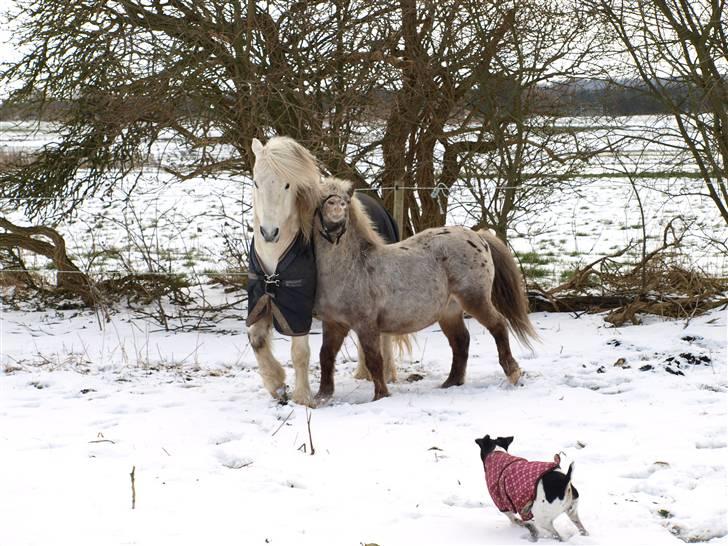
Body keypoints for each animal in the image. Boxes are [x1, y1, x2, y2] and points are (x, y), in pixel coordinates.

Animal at [316, 175, 536, 400]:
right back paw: (451, 382)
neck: (353, 266)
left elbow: (374, 360)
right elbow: (326, 356)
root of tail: (479, 237)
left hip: (475, 299)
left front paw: (380, 396)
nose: (337, 207)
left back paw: (512, 373)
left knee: (498, 325)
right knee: (460, 341)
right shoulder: (333, 324)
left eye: (346, 199)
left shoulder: (366, 325)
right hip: (449, 311)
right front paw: (322, 397)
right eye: (322, 197)